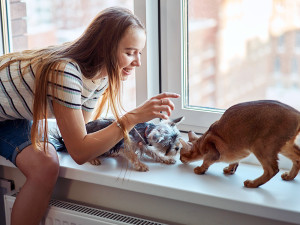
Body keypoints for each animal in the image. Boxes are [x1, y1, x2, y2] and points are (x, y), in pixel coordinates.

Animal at [53, 117, 184, 171]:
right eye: (168, 143)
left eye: (177, 137)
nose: (178, 148)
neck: (145, 131)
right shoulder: (125, 146)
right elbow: (133, 155)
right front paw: (140, 165)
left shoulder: (143, 145)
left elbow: (155, 153)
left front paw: (166, 159)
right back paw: (94, 159)